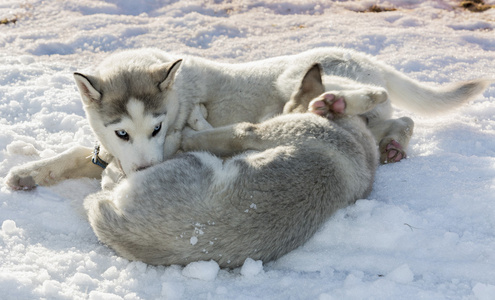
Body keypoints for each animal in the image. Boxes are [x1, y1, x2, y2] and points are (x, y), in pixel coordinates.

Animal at [5, 47, 490, 190]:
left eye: (156, 128)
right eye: (121, 131)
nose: (143, 173)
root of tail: (366, 58)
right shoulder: (108, 149)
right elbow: (76, 153)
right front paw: (28, 173)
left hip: (296, 75)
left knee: (379, 96)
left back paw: (334, 102)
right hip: (371, 120)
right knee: (400, 122)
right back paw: (391, 145)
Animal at [84, 65, 380, 268]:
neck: (353, 138)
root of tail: (120, 230)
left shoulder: (250, 132)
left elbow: (214, 133)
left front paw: (189, 126)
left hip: (196, 162)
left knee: (110, 184)